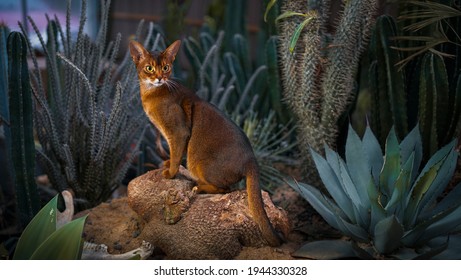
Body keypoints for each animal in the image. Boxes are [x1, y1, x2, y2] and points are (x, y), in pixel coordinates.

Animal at [128, 40, 280, 247]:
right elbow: (173, 153)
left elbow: (176, 154)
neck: (153, 93)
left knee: (225, 189)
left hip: (197, 161)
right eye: (149, 68)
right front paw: (167, 163)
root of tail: (252, 159)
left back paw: (200, 187)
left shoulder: (178, 132)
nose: (159, 78)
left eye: (166, 67)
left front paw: (170, 173)